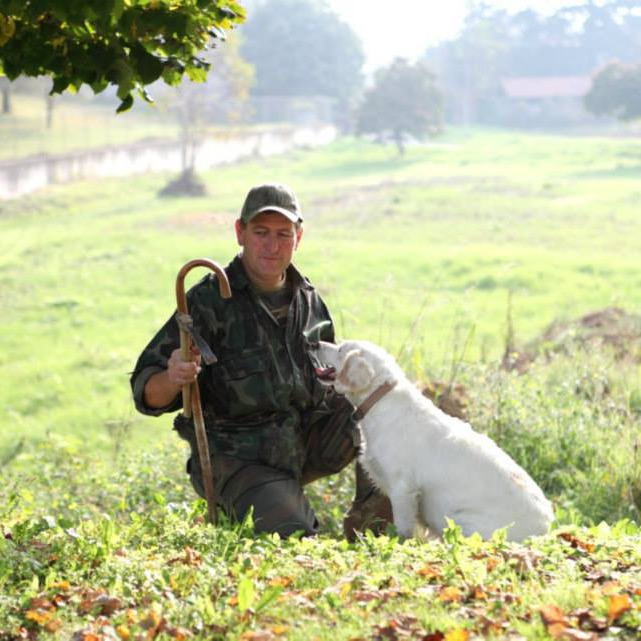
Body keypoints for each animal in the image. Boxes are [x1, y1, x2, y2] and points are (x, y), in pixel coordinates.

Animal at [312, 340, 552, 540]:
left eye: (341, 349)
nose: (314, 342)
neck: (381, 400)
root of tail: (546, 529)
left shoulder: (403, 489)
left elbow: (403, 530)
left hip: (461, 522)